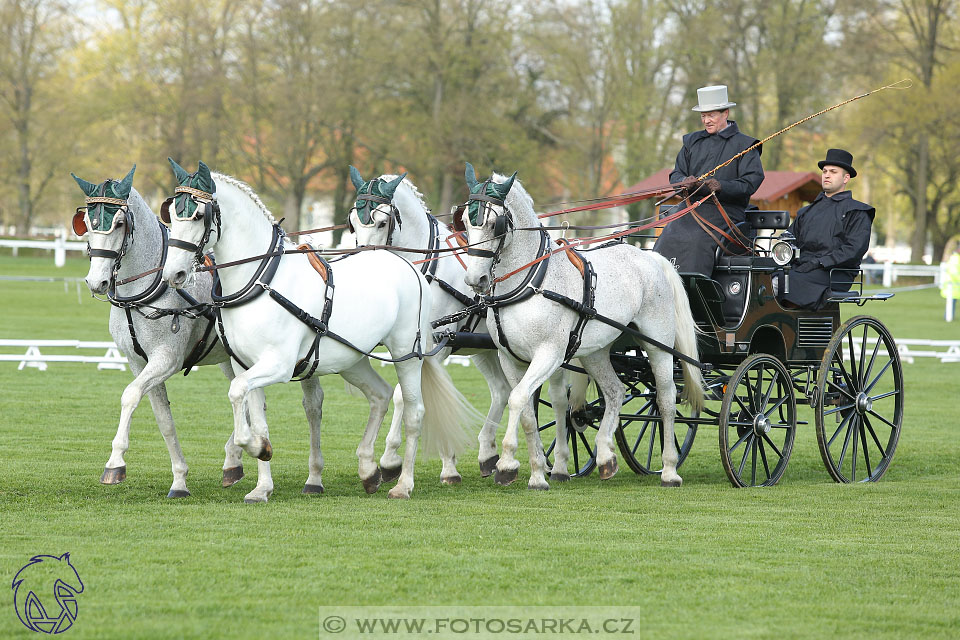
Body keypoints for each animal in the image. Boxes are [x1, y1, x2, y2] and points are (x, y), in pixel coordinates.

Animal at [70, 166, 274, 500]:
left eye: (119, 223)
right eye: (86, 223)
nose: (96, 282)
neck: (142, 291)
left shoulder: (166, 359)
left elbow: (129, 396)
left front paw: (115, 462)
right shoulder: (138, 362)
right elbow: (164, 420)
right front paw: (179, 479)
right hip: (228, 360)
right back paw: (233, 461)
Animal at [161, 160, 476, 500]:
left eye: (197, 215)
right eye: (171, 214)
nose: (173, 273)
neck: (261, 281)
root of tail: (409, 267)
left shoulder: (280, 364)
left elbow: (236, 393)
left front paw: (256, 450)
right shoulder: (246, 365)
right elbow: (255, 417)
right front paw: (262, 480)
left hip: (407, 353)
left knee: (413, 410)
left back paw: (403, 482)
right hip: (352, 358)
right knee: (380, 395)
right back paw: (369, 470)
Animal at [346, 168, 516, 482]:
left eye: (382, 221)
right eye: (352, 223)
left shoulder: (433, 347)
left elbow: (405, 396)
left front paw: (395, 460)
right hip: (485, 349)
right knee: (502, 390)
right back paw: (488, 453)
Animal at [458, 165, 704, 490]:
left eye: (494, 224)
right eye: (464, 221)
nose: (476, 280)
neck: (531, 282)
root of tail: (649, 255)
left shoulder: (548, 354)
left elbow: (518, 398)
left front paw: (508, 462)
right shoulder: (509, 358)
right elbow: (525, 411)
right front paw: (537, 473)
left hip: (657, 344)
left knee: (665, 398)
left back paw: (669, 469)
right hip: (595, 351)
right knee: (614, 391)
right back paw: (605, 456)